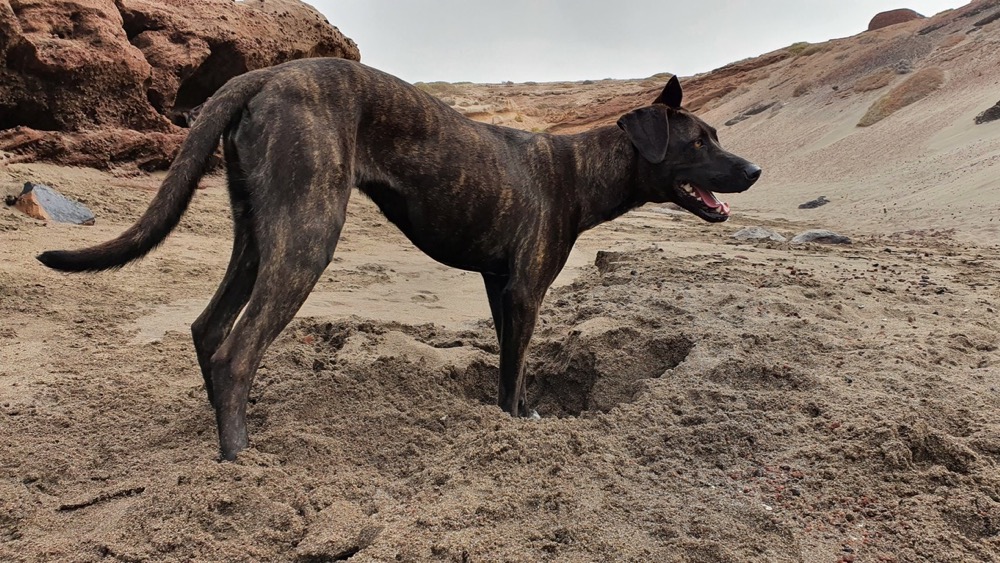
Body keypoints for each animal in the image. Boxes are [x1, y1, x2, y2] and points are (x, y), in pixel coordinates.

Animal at [37, 58, 756, 462]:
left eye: (718, 135)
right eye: (699, 141)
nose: (753, 169)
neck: (578, 171)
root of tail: (263, 74)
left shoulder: (500, 288)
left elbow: (509, 364)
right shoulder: (525, 290)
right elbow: (515, 372)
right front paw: (516, 423)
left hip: (258, 231)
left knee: (209, 328)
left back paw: (224, 428)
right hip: (309, 233)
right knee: (238, 347)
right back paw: (240, 458)